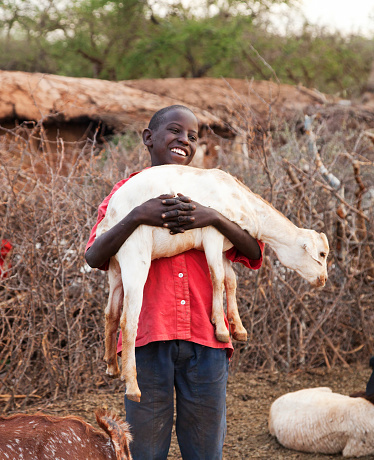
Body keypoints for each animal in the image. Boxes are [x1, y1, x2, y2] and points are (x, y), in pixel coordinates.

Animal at [98, 164, 328, 398]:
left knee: (111, 313)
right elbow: (217, 278)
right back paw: (133, 386)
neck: (245, 204)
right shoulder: (212, 234)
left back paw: (112, 367)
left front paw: (238, 329)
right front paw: (222, 330)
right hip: (135, 256)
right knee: (128, 322)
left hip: (115, 267)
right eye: (322, 254)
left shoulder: (226, 245)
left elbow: (231, 280)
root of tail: (109, 218)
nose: (323, 280)